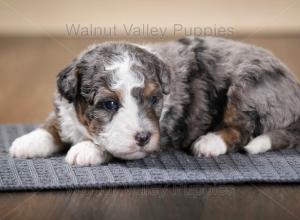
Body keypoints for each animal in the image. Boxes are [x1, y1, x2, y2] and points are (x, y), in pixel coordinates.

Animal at [8, 37, 300, 166]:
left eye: (154, 99)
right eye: (109, 104)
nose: (143, 137)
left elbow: (109, 146)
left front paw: (86, 150)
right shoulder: (65, 109)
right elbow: (53, 125)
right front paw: (27, 142)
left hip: (246, 87)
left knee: (242, 129)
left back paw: (209, 143)